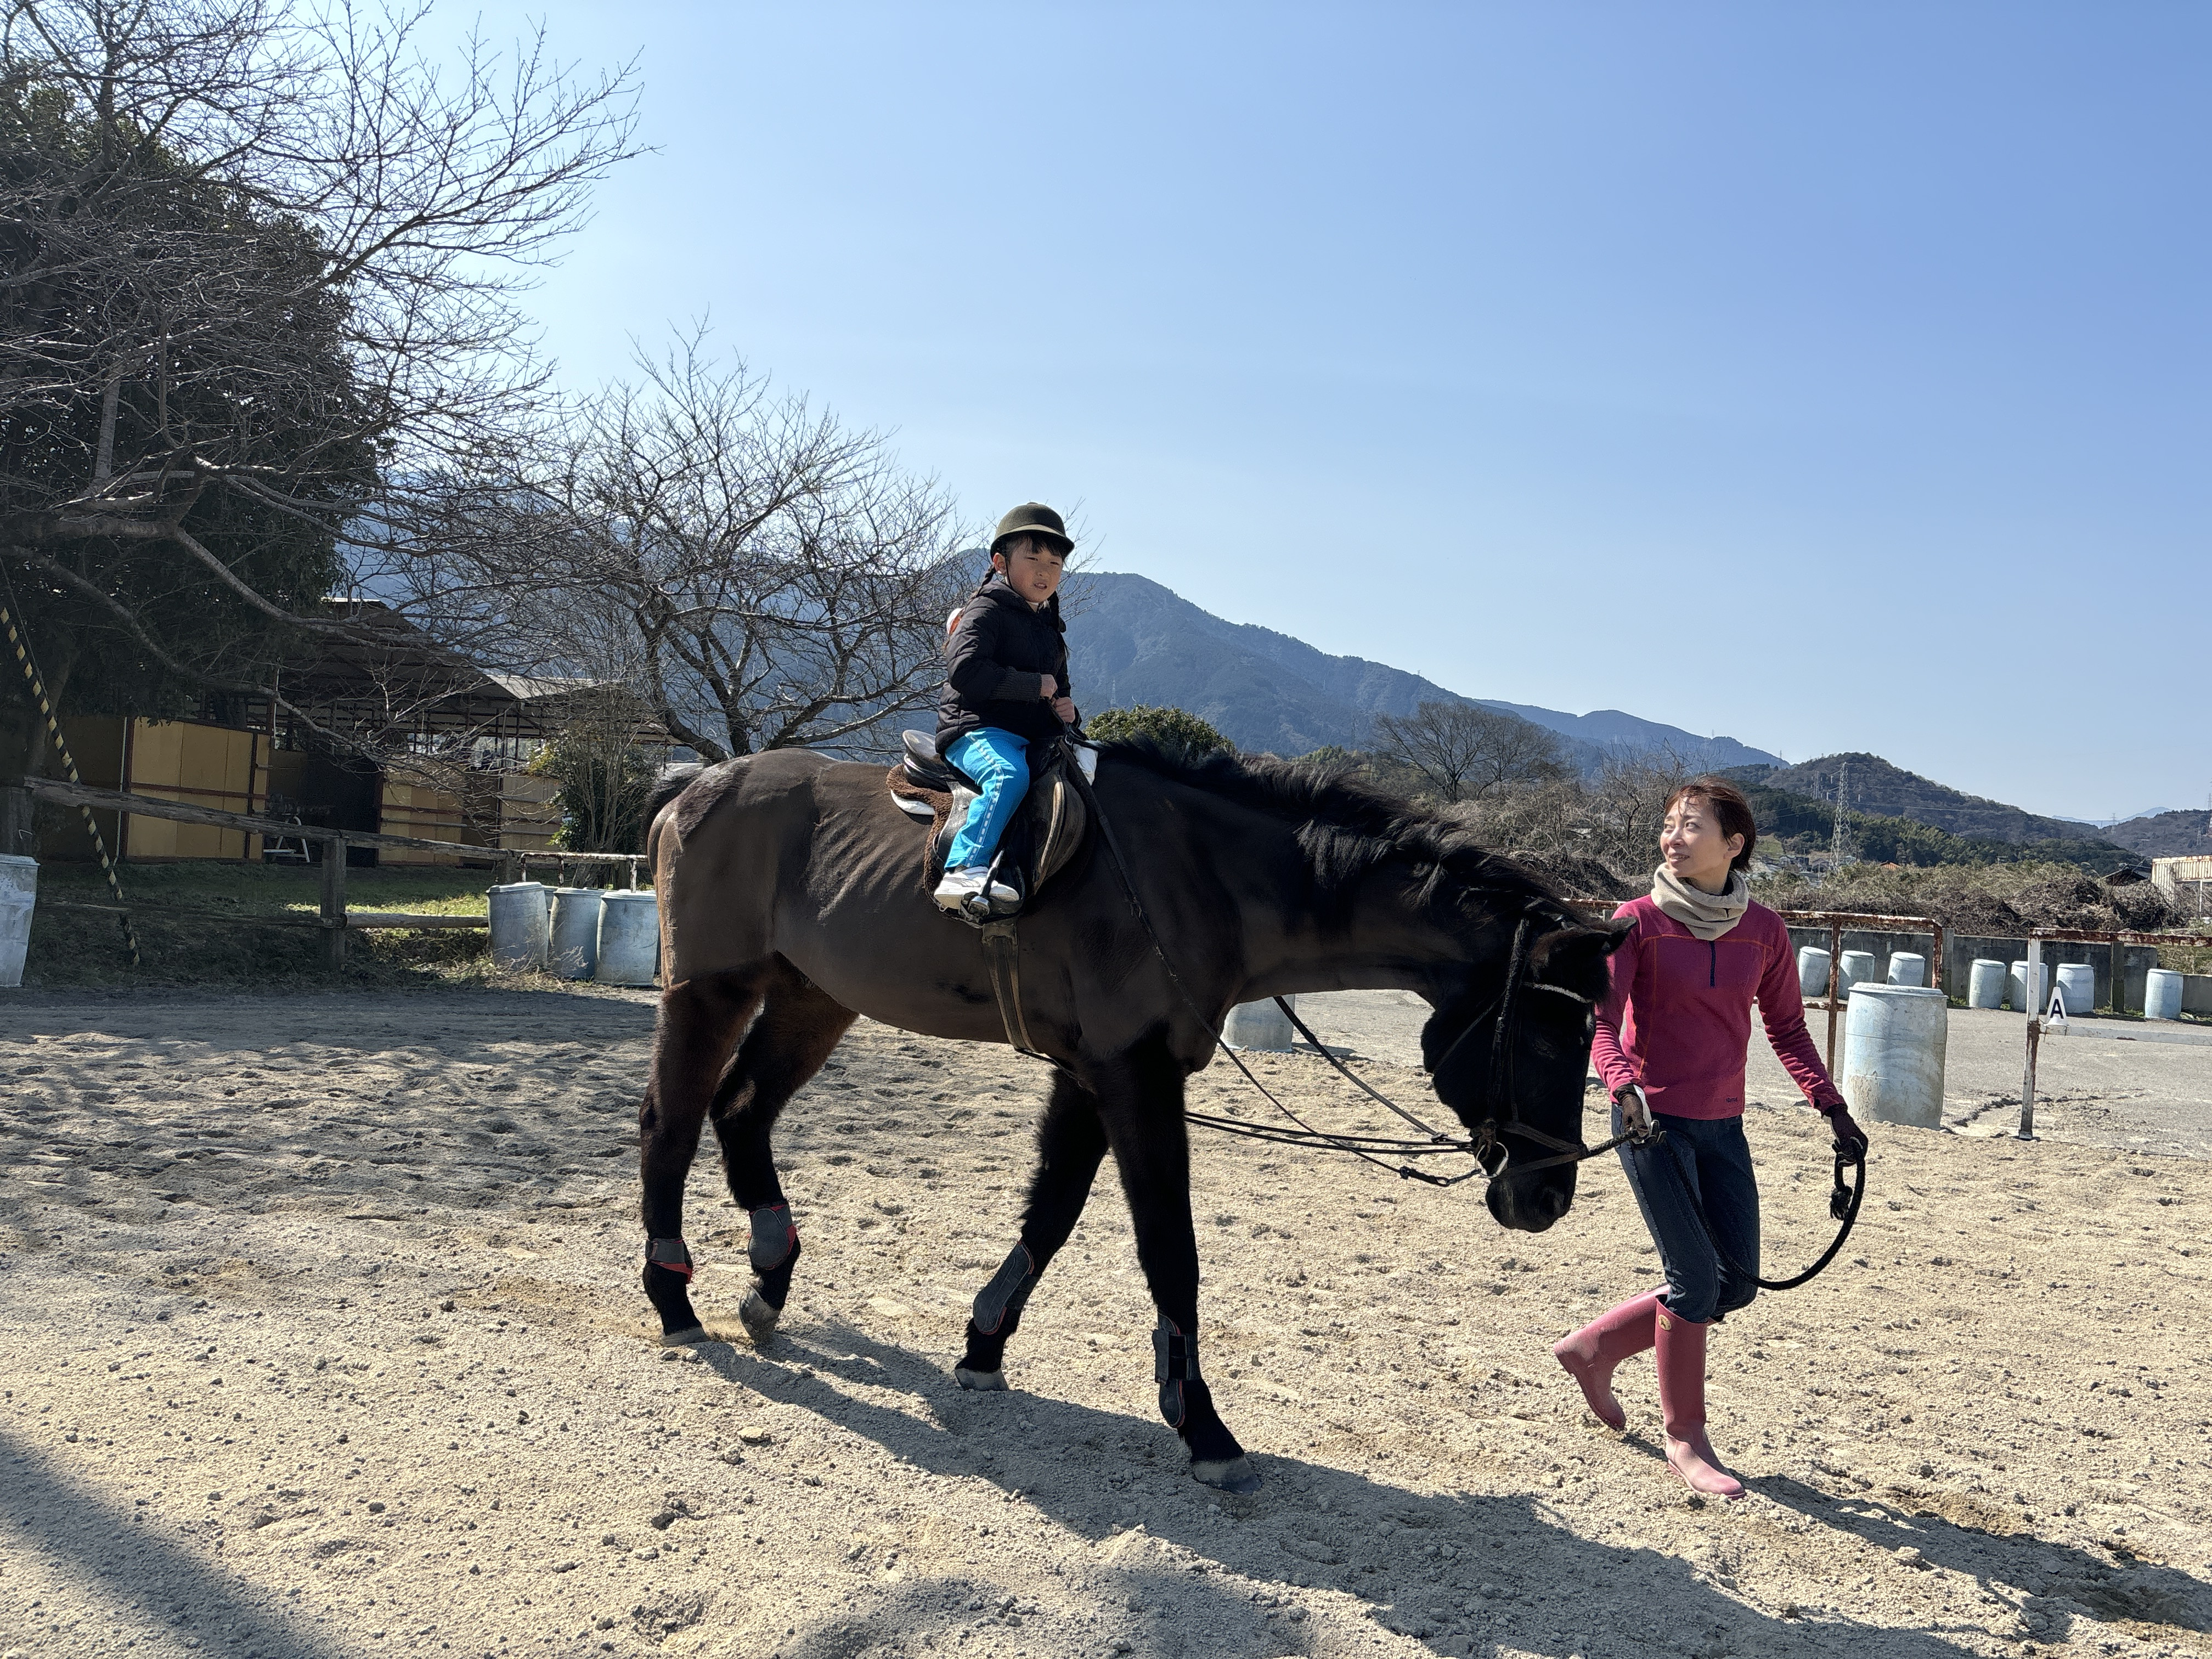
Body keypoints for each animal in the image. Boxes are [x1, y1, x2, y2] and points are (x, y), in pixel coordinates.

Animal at [635, 737, 1627, 1493]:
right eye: (1550, 1035)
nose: (1546, 1196)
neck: (1203, 879)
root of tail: (701, 782)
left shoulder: (1090, 1075)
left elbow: (1053, 1211)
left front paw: (984, 1345)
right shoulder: (1135, 1075)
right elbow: (1169, 1249)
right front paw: (1202, 1424)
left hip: (813, 995)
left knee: (742, 1109)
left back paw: (769, 1279)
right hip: (710, 989)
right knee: (670, 1123)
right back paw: (672, 1295)